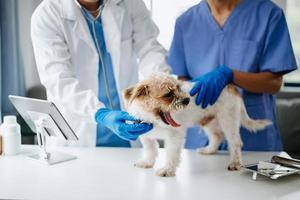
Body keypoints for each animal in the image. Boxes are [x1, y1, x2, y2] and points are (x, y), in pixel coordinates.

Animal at [122, 73, 272, 177]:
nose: (187, 100)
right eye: (168, 94)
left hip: (228, 120)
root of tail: (230, 86)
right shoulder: (146, 136)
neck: (154, 120)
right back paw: (209, 150)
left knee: (235, 142)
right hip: (208, 122)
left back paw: (235, 163)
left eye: (179, 88)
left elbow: (171, 154)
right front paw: (147, 162)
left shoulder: (175, 137)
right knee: (217, 136)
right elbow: (150, 150)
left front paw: (167, 169)